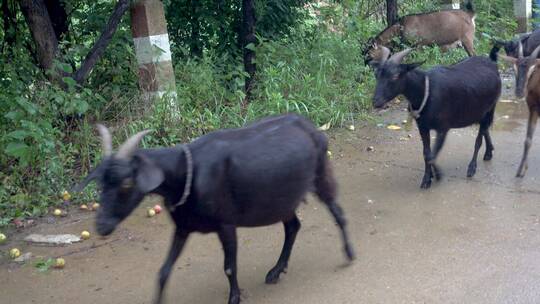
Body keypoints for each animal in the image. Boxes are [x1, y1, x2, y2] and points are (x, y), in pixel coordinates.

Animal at [75, 114, 354, 304]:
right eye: (101, 183)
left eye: (126, 183)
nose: (102, 225)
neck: (186, 173)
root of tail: (311, 127)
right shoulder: (183, 227)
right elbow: (163, 271)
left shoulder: (226, 224)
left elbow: (229, 267)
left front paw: (234, 298)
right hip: (282, 200)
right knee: (293, 226)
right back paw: (276, 271)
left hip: (321, 174)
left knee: (338, 213)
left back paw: (349, 254)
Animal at [372, 45, 502, 188]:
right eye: (376, 75)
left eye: (395, 76)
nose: (376, 101)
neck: (425, 91)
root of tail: (492, 62)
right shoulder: (423, 127)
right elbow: (426, 153)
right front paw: (428, 178)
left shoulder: (443, 127)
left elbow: (431, 155)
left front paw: (437, 175)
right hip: (478, 111)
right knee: (485, 129)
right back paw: (489, 152)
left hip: (490, 107)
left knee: (479, 138)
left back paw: (472, 168)